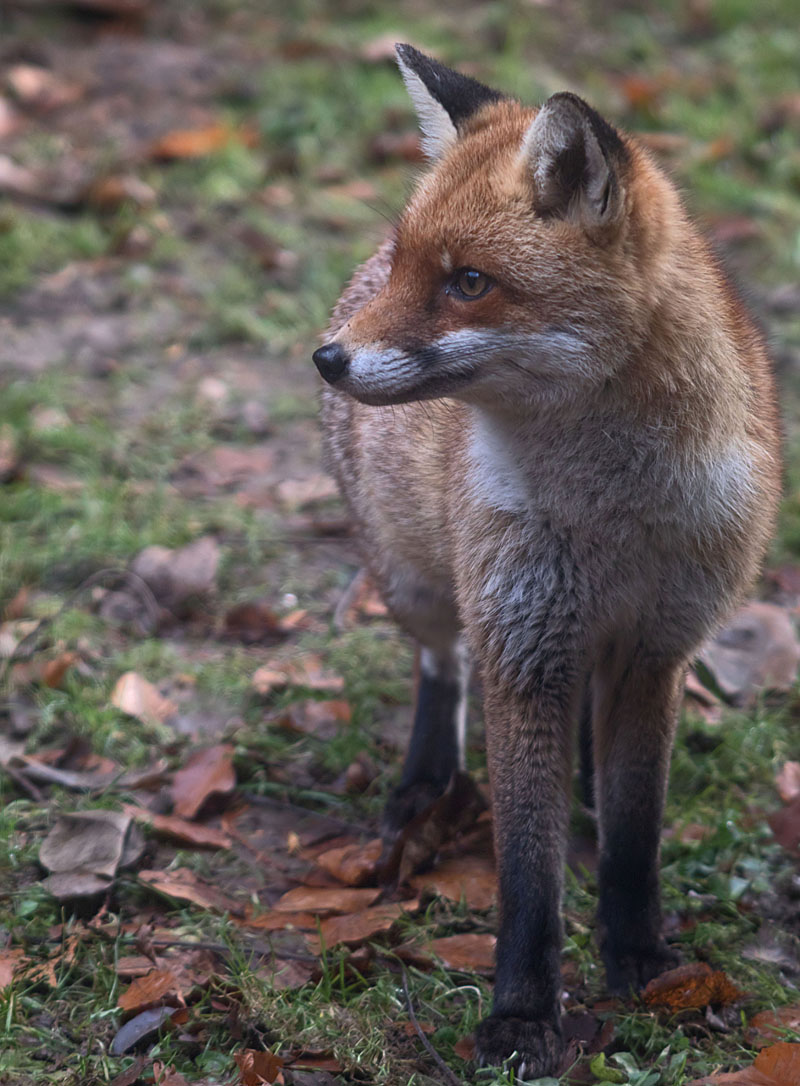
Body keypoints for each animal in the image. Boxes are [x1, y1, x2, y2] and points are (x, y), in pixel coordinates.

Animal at [313, 45, 781, 1076]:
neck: (611, 515)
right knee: (440, 668)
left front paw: (641, 961)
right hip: (420, 585)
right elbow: (528, 870)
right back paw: (423, 785)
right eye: (409, 265)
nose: (326, 358)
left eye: (468, 281)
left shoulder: (657, 648)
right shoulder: (523, 645)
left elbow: (637, 838)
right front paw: (523, 1016)